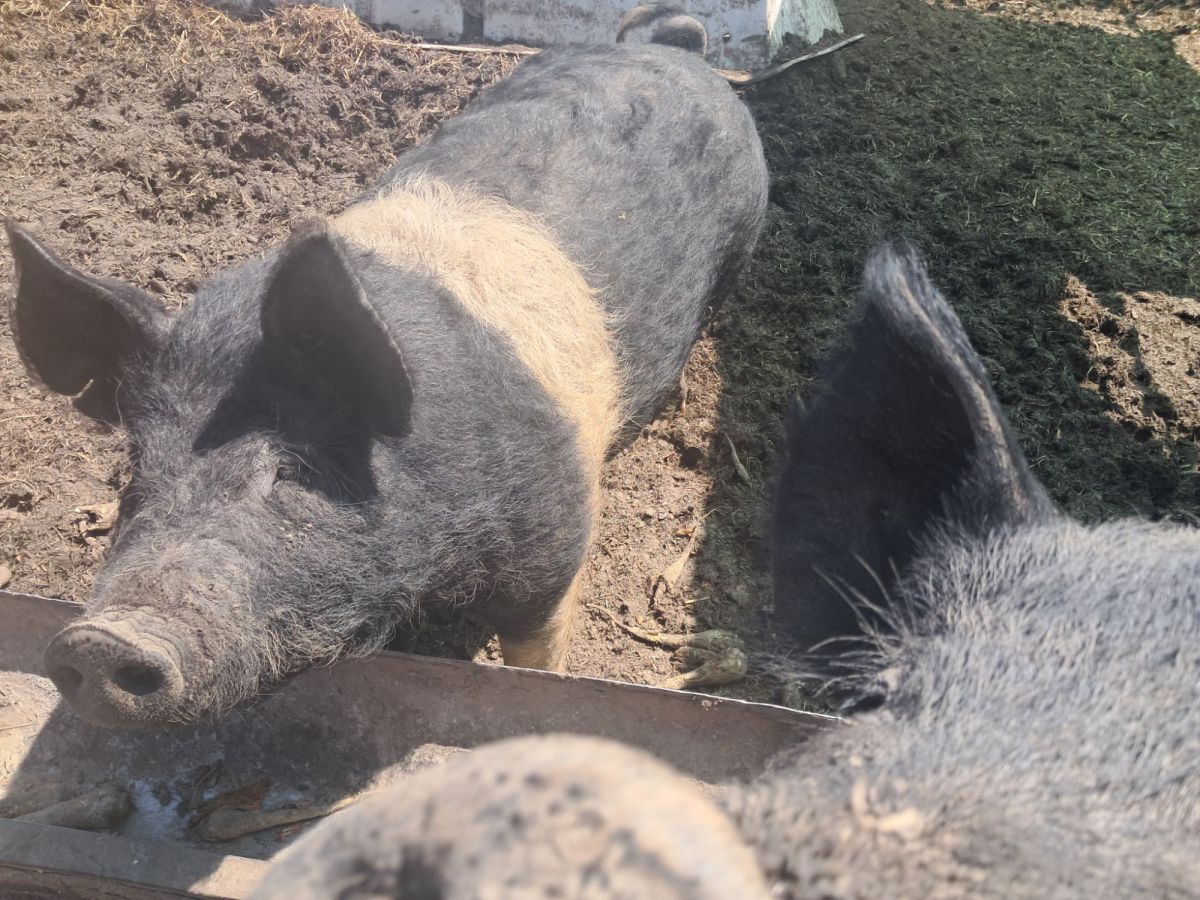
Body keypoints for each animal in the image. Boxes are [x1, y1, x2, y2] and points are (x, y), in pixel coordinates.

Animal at [5, 9, 768, 728]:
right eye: (137, 465)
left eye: (292, 471)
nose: (99, 640)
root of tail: (674, 49)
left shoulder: (558, 539)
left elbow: (536, 648)